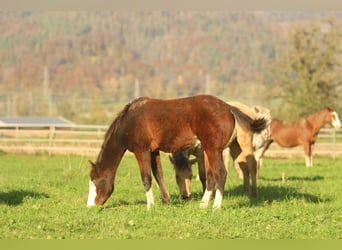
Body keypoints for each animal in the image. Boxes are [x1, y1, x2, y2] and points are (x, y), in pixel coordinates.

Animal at [86, 94, 268, 210]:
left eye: (95, 181)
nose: (91, 205)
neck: (131, 119)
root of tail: (228, 107)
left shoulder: (141, 150)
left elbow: (146, 178)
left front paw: (150, 205)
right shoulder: (153, 152)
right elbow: (158, 175)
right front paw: (166, 201)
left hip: (214, 149)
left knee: (221, 174)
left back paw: (216, 206)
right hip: (211, 151)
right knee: (211, 177)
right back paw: (203, 204)